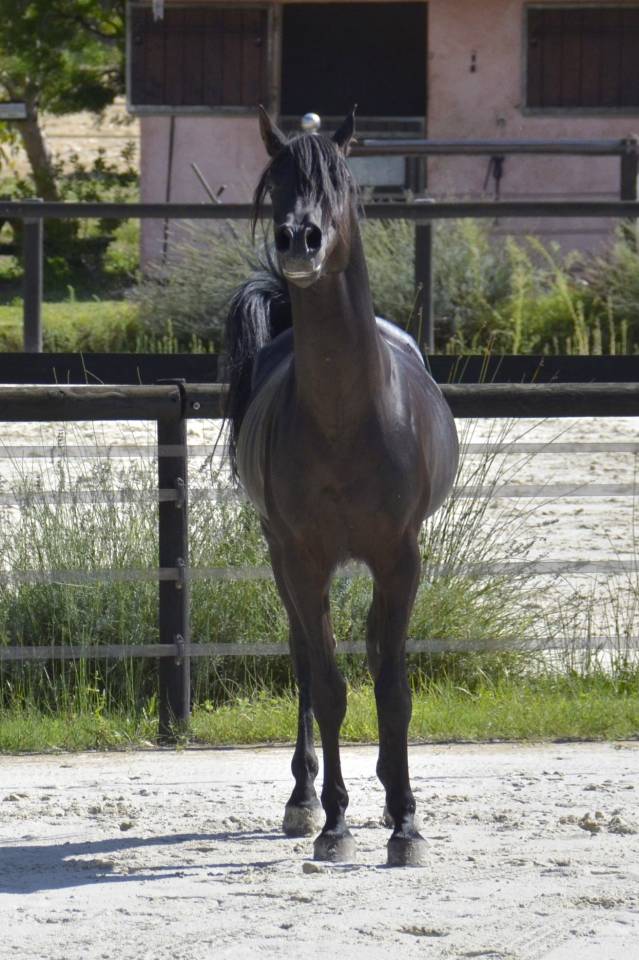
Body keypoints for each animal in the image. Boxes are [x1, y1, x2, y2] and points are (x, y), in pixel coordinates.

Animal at [224, 107, 459, 866]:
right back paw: (304, 800)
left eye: (340, 182)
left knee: (376, 654)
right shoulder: (303, 559)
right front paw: (333, 824)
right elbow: (328, 685)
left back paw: (388, 794)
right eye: (276, 182)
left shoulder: (400, 556)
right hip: (283, 557)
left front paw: (406, 824)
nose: (299, 239)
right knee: (305, 660)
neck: (346, 417)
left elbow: (393, 686)